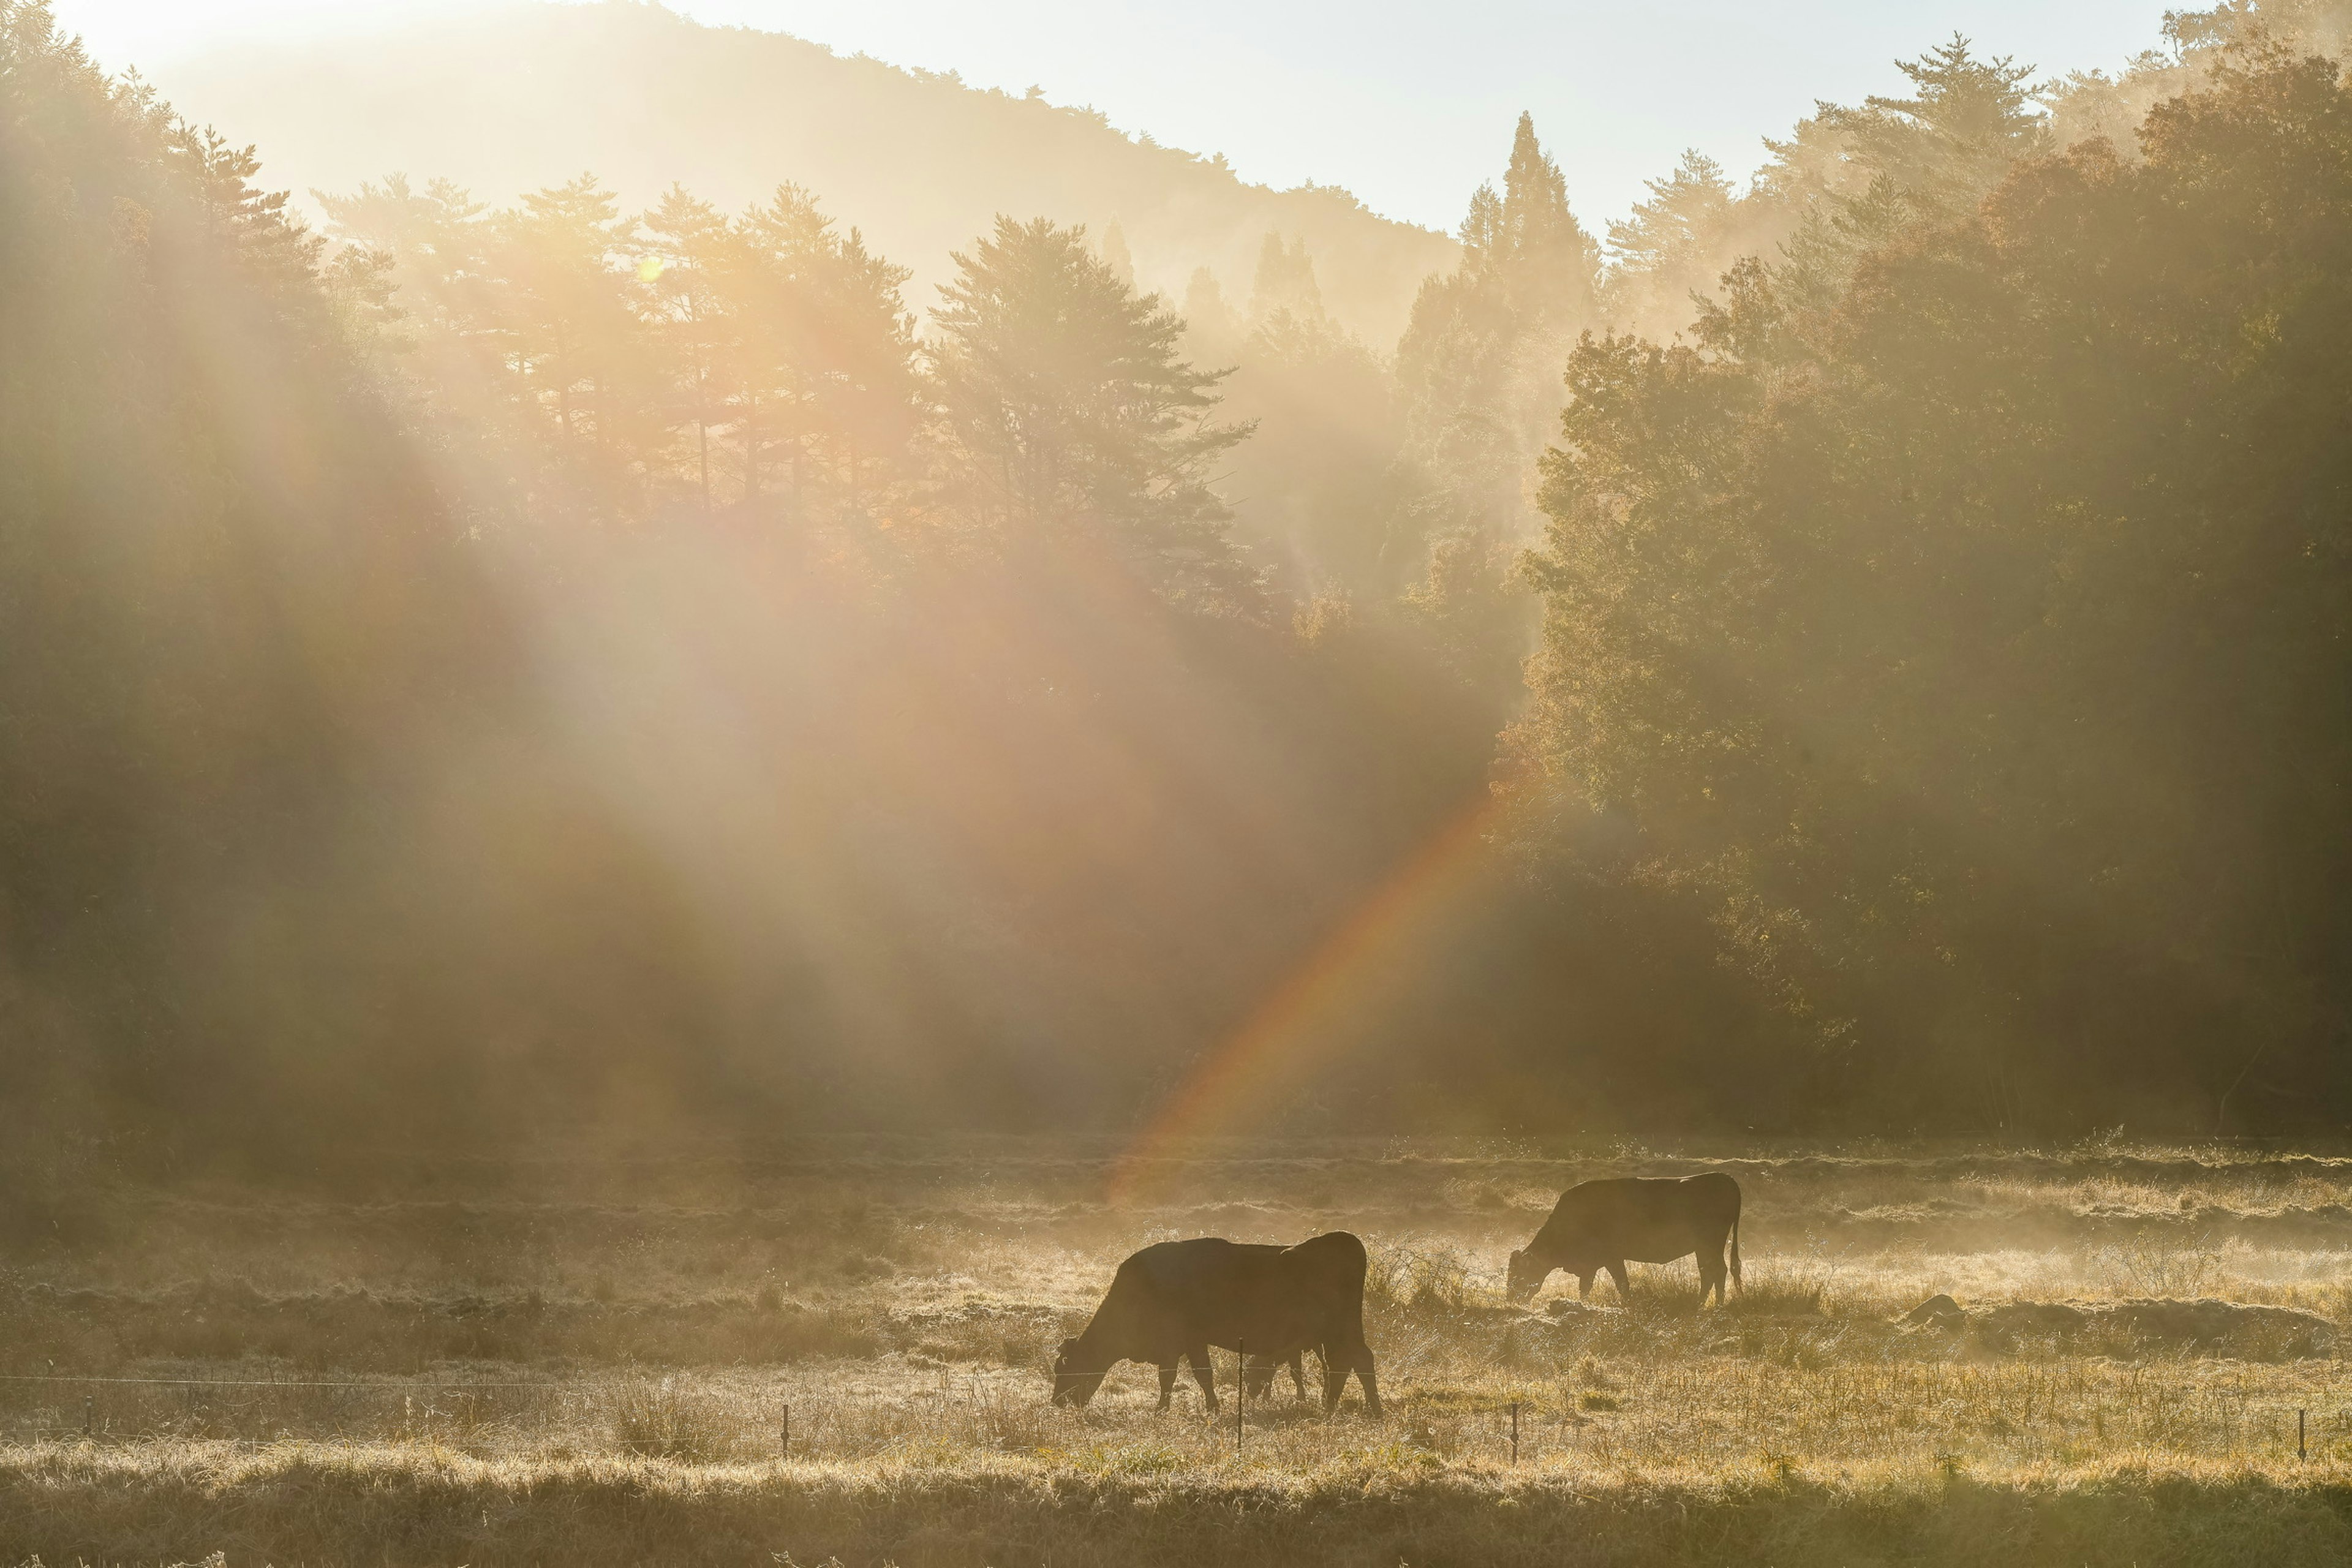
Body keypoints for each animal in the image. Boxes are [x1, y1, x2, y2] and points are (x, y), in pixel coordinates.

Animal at [1054, 1232, 1373, 1420]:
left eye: (1065, 1368)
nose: (1057, 1401)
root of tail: (1343, 1240)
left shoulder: (1178, 1343)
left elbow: (1176, 1377)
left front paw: (1164, 1410)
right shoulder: (1190, 1343)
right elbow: (1197, 1376)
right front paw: (1212, 1407)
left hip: (1338, 1330)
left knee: (1353, 1360)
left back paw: (1358, 1409)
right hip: (1336, 1334)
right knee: (1352, 1362)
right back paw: (1347, 1408)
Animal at [1505, 1170, 1749, 1306]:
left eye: (1516, 1276)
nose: (1510, 1299)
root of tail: (1724, 1178)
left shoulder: (1611, 1259)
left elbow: (1621, 1284)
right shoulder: (1591, 1265)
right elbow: (1585, 1288)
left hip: (1710, 1244)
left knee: (1716, 1272)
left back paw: (1713, 1305)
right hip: (1704, 1248)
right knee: (1711, 1273)